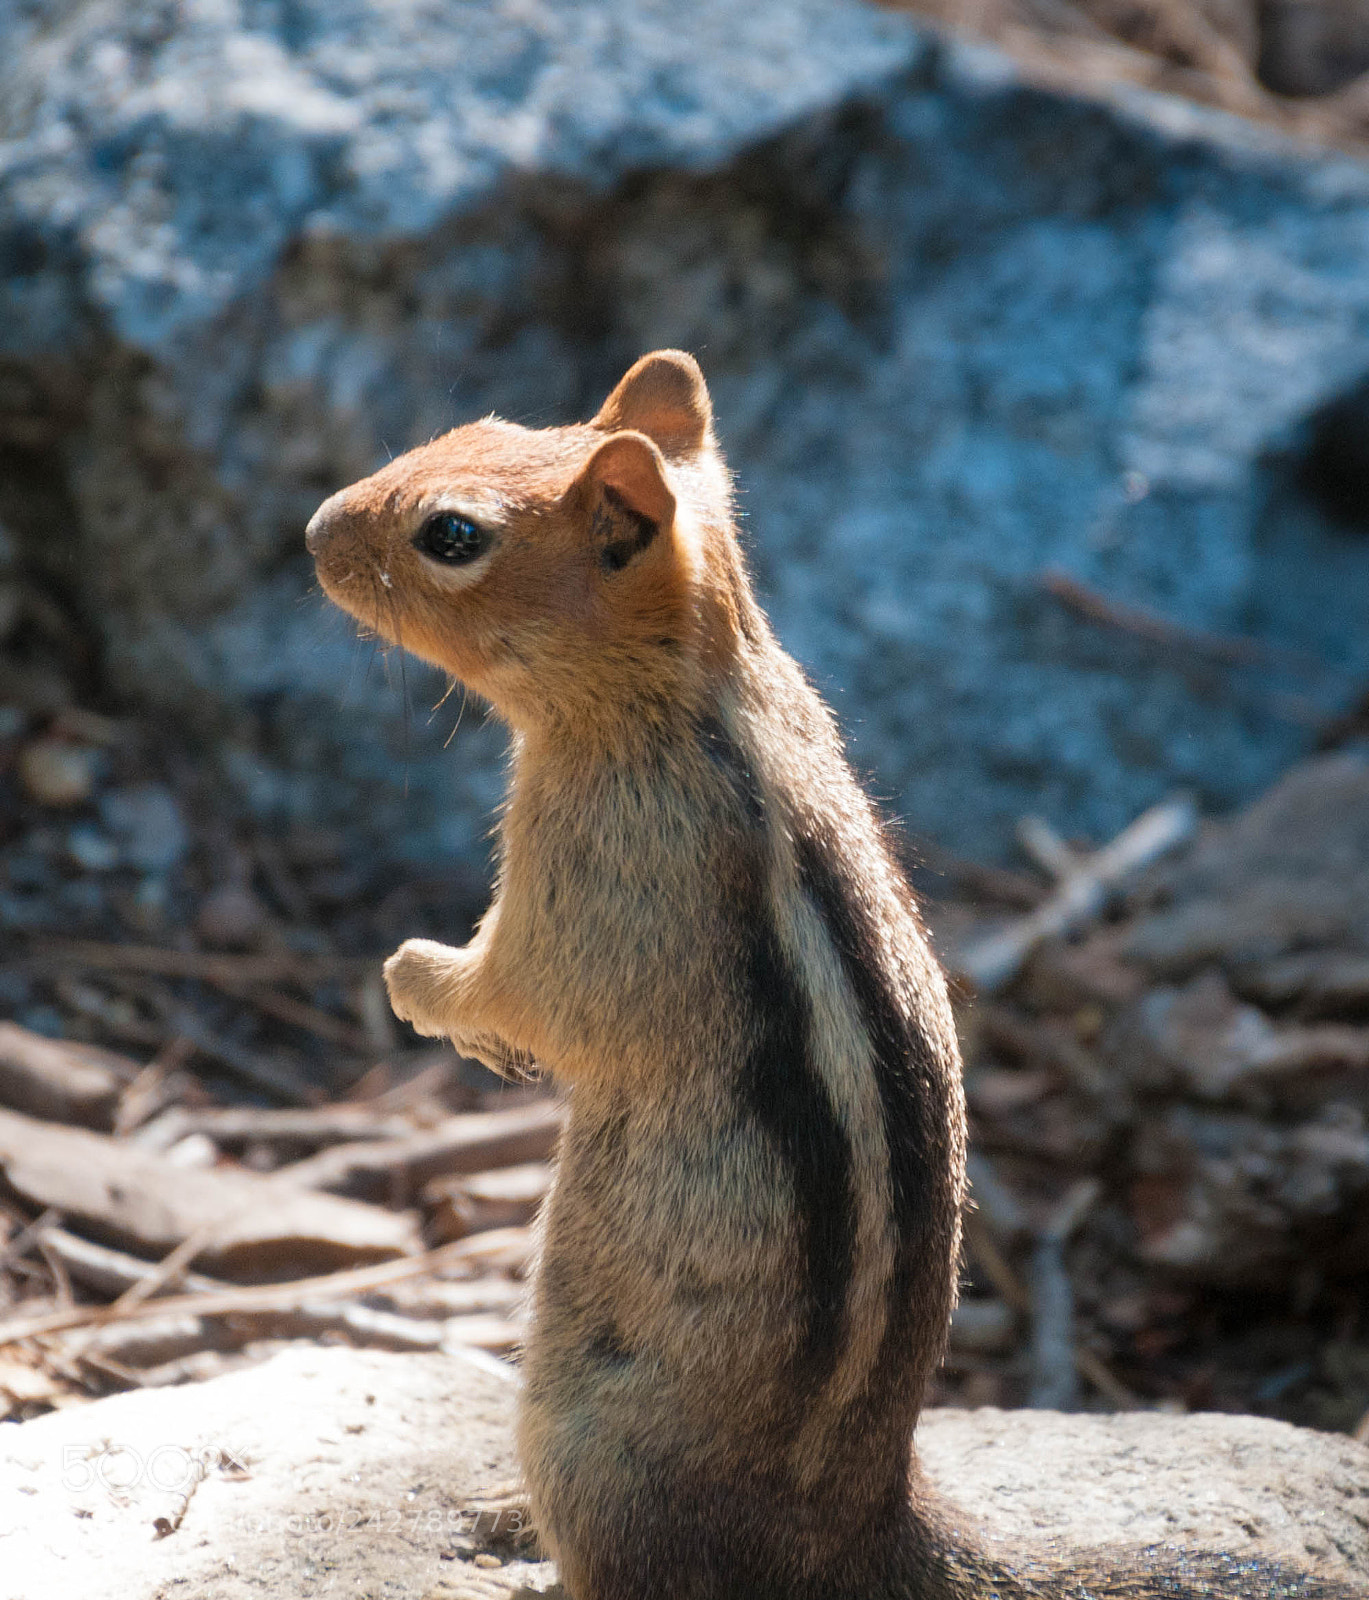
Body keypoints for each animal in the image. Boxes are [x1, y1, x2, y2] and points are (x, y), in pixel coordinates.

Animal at [307, 351, 1363, 1600]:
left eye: (452, 534)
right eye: (475, 420)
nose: (314, 529)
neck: (694, 691)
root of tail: (869, 1521)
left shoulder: (592, 876)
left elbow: (524, 993)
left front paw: (416, 978)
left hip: (582, 1448)